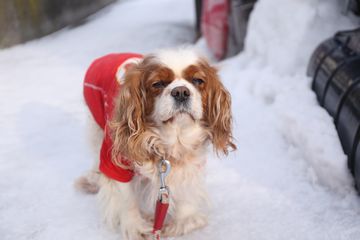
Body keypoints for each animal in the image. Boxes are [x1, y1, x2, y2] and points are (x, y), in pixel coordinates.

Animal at [75, 47, 236, 239]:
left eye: (198, 81)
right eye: (158, 84)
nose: (181, 92)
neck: (172, 139)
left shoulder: (190, 163)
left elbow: (186, 189)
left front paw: (183, 221)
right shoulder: (116, 163)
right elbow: (126, 198)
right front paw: (136, 227)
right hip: (97, 127)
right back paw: (92, 180)